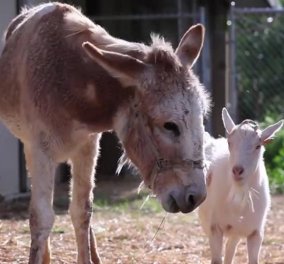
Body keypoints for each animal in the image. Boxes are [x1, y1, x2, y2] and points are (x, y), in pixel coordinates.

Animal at [199, 108, 282, 264]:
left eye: (258, 146)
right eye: (229, 143)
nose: (237, 170)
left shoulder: (256, 233)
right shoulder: (215, 228)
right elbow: (216, 259)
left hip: (237, 230)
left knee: (230, 247)